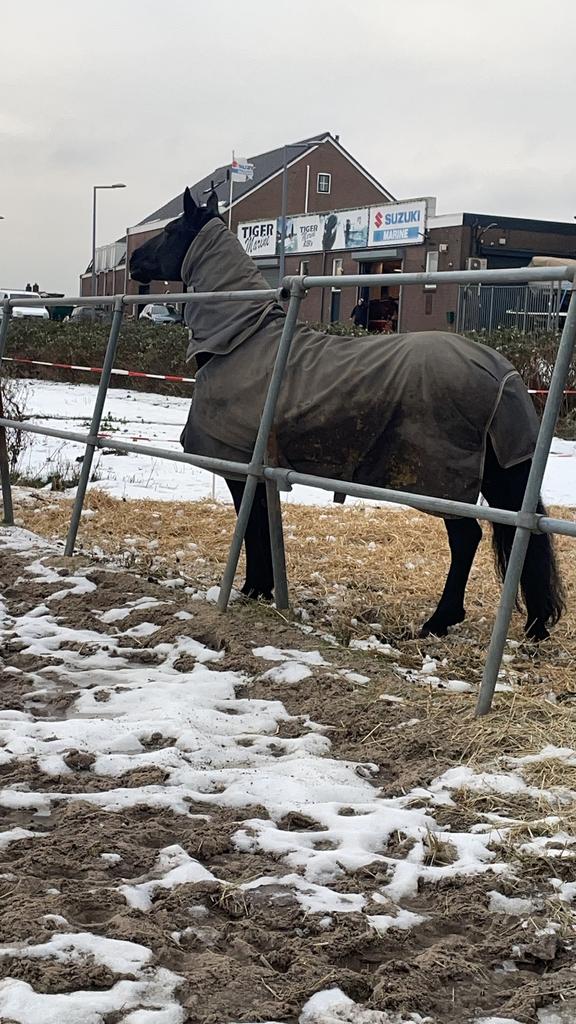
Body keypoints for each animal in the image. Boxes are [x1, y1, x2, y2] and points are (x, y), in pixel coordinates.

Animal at [130, 188, 565, 642]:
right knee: (519, 537)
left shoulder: (239, 466)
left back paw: (438, 622)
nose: (133, 261)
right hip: (498, 473)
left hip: (443, 483)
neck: (241, 341)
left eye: (172, 230)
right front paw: (264, 589)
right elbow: (263, 524)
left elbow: (249, 525)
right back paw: (534, 623)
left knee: (466, 538)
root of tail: (504, 372)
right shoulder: (263, 470)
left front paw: (251, 588)